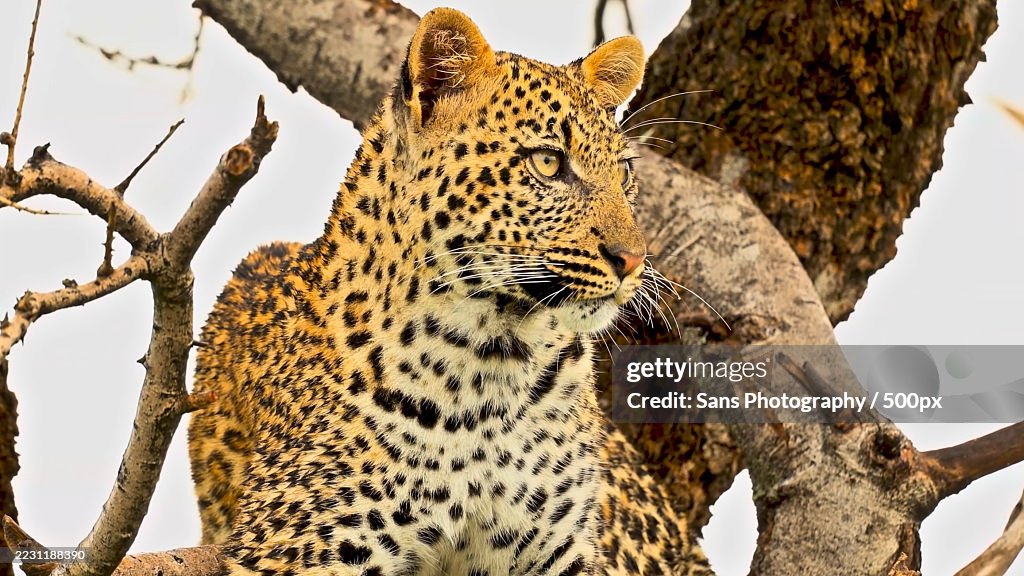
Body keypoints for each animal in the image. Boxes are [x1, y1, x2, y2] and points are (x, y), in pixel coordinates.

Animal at [188, 7, 712, 576]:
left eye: (624, 172)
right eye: (548, 163)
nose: (633, 259)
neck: (494, 360)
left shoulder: (562, 550)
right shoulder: (299, 547)